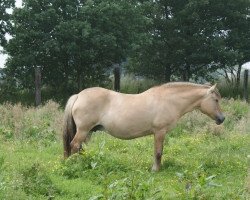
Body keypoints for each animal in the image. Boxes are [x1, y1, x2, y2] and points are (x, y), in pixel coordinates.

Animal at [62, 82, 225, 171]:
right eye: (216, 100)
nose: (222, 118)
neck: (169, 100)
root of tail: (79, 95)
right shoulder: (160, 132)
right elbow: (158, 152)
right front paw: (155, 170)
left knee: (78, 147)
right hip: (83, 130)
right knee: (74, 145)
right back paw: (76, 164)